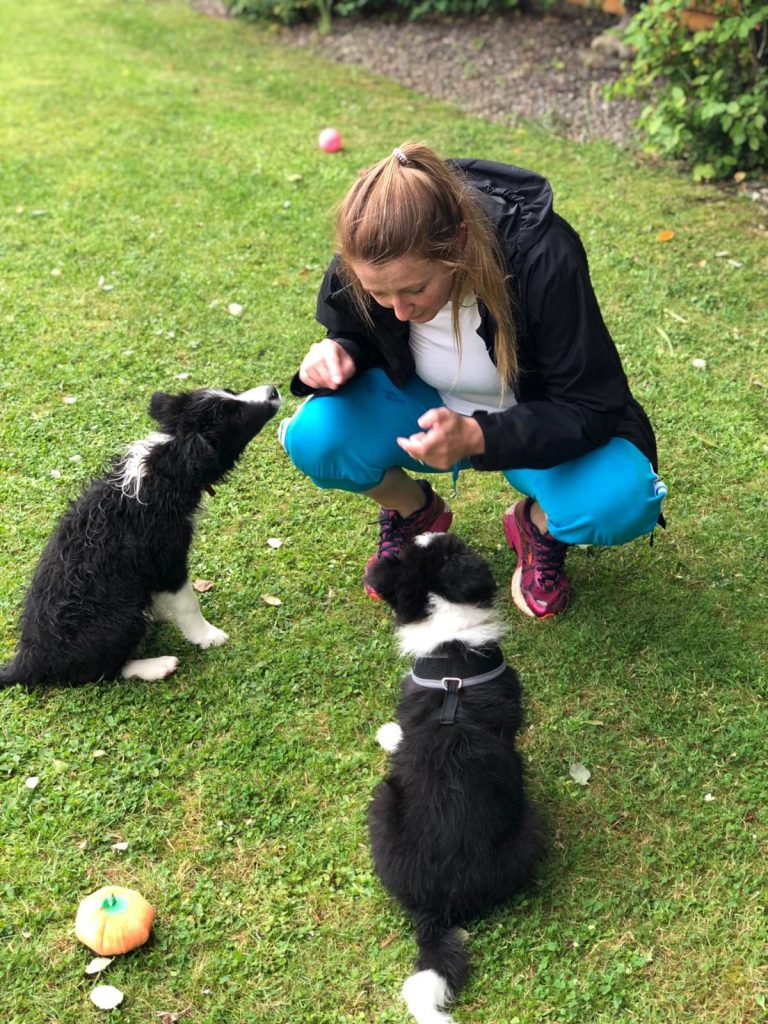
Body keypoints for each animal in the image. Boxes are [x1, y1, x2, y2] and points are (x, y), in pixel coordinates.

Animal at [0, 385, 280, 688]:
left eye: (231, 393)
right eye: (234, 413)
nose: (273, 390)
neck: (165, 469)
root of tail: (28, 661)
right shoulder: (167, 560)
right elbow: (188, 604)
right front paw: (207, 635)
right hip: (120, 618)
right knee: (102, 672)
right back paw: (157, 665)